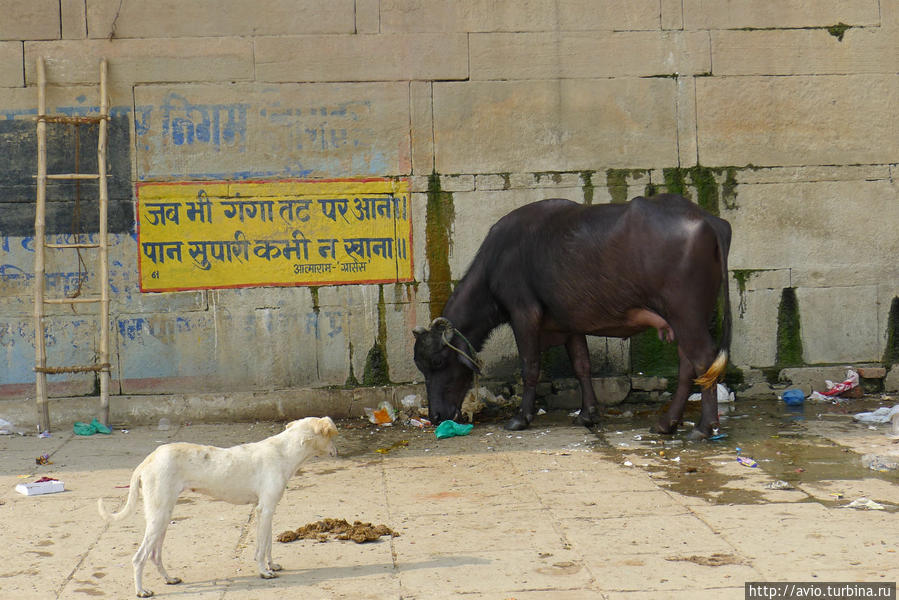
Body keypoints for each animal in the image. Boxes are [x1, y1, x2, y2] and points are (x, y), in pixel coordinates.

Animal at [97, 418, 338, 596]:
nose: (337, 452)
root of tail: (148, 460)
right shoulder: (266, 509)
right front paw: (264, 572)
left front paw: (272, 565)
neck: (285, 452)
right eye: (333, 435)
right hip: (159, 516)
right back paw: (141, 591)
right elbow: (261, 549)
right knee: (139, 558)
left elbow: (268, 544)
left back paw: (169, 579)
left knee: (155, 555)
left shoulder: (266, 509)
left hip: (163, 516)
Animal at [414, 195, 732, 438]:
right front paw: (588, 413)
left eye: (438, 362)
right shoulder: (570, 324)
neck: (497, 262)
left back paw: (704, 427)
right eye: (422, 366)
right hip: (684, 319)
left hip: (686, 315)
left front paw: (520, 418)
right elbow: (582, 365)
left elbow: (530, 367)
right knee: (688, 365)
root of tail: (708, 219)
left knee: (704, 359)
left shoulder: (523, 314)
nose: (436, 415)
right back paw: (667, 423)